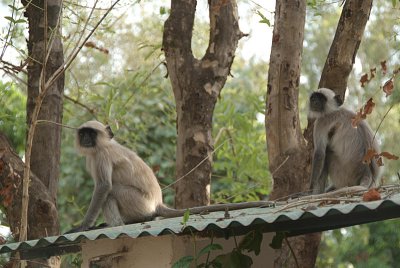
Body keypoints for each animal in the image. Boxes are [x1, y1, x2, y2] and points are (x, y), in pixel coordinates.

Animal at [67, 120, 270, 233]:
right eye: (83, 133)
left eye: (91, 133)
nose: (86, 139)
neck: (100, 146)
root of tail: (157, 203)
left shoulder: (101, 155)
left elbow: (103, 187)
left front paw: (83, 226)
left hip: (139, 202)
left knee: (111, 192)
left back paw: (115, 225)